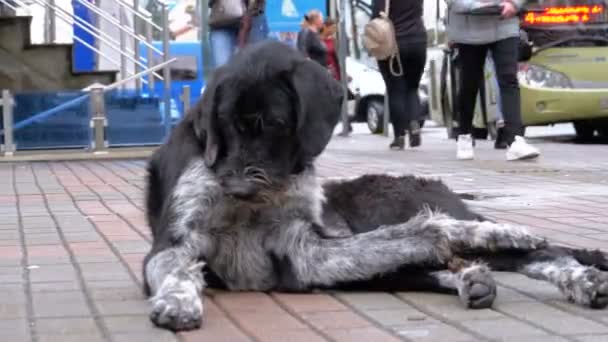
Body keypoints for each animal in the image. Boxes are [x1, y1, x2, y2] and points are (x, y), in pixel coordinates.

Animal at [142, 40, 608, 332]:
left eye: (272, 123)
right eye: (221, 122)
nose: (235, 187)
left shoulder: (304, 247)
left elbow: (426, 229)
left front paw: (495, 231)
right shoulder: (182, 245)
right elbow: (176, 270)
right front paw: (178, 299)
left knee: (541, 252)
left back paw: (578, 277)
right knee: (435, 266)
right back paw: (471, 279)